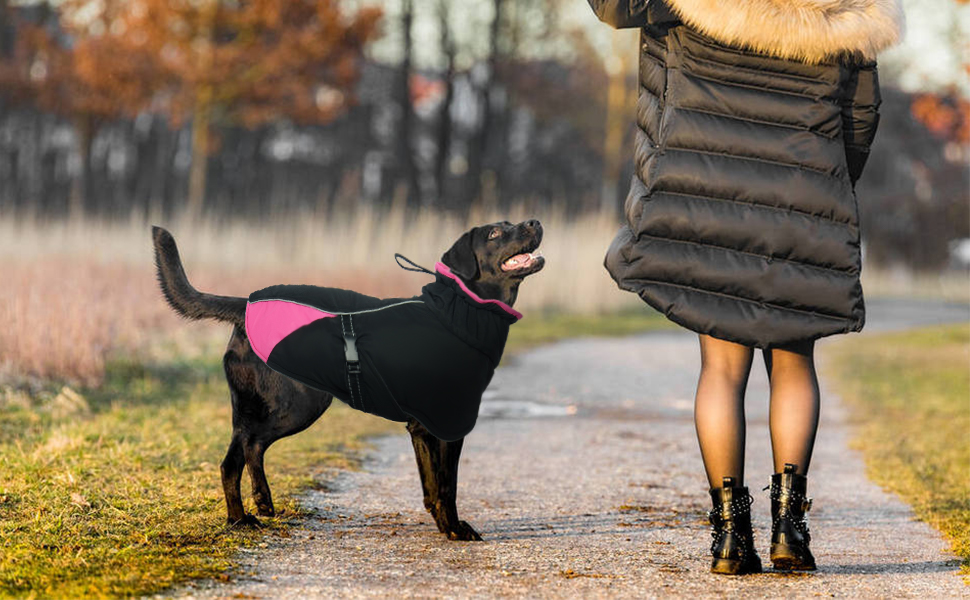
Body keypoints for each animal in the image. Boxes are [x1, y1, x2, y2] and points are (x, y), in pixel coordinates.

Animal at [152, 220, 544, 540]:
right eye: (495, 233)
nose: (534, 221)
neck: (458, 311)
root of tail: (244, 305)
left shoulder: (421, 426)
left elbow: (430, 487)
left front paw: (441, 524)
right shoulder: (446, 422)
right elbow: (447, 485)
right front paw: (455, 530)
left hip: (252, 407)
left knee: (231, 461)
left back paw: (240, 520)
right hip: (299, 404)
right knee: (254, 446)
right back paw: (261, 500)